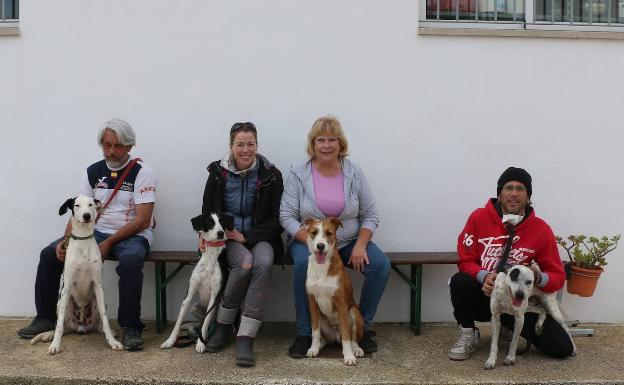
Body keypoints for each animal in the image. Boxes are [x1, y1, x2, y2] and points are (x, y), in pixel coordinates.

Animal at [160, 212, 233, 352]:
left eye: (222, 221)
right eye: (210, 222)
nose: (221, 233)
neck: (211, 256)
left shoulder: (214, 297)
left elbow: (205, 324)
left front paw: (200, 343)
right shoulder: (188, 296)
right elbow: (178, 322)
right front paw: (170, 341)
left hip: (216, 310)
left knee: (205, 323)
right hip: (194, 307)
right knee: (197, 322)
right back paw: (188, 326)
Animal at [304, 218, 366, 364]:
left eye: (329, 233)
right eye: (314, 232)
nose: (320, 246)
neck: (322, 267)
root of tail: (335, 336)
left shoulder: (341, 303)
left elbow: (346, 336)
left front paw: (349, 357)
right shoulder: (312, 302)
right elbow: (315, 331)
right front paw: (313, 349)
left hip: (354, 313)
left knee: (353, 337)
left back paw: (356, 350)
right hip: (322, 320)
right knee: (325, 338)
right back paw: (319, 345)